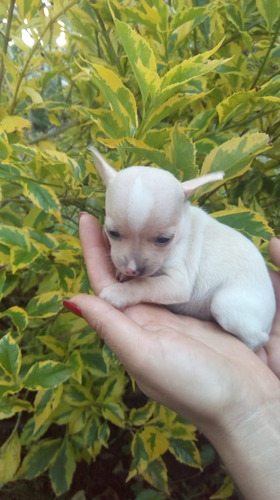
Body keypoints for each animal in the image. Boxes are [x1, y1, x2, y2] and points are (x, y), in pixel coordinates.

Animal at [89, 146, 276, 350]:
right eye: (112, 233)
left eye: (164, 240)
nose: (132, 270)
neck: (182, 230)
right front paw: (122, 274)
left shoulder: (178, 283)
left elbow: (145, 284)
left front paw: (119, 292)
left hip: (226, 305)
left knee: (258, 338)